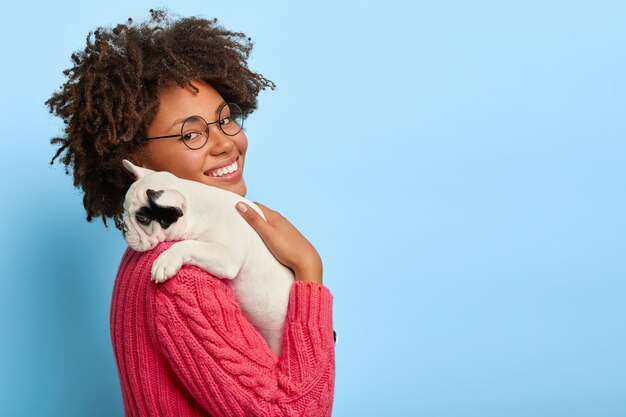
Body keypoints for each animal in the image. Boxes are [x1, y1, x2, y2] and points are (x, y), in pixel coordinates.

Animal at [120, 159, 294, 354]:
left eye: (142, 218)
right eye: (124, 210)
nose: (123, 227)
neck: (197, 208)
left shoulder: (227, 256)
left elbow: (188, 245)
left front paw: (166, 260)